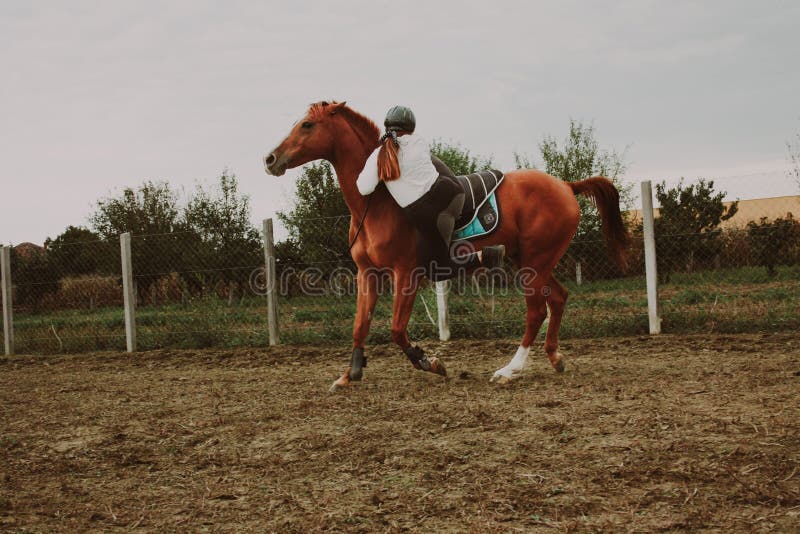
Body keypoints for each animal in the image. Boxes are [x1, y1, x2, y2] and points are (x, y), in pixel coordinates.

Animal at [264, 101, 630, 390]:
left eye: (307, 125)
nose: (270, 158)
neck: (378, 201)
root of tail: (566, 186)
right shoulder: (367, 274)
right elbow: (359, 326)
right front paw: (349, 374)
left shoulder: (405, 275)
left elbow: (397, 330)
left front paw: (430, 363)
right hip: (532, 260)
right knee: (558, 298)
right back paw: (554, 356)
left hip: (534, 263)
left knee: (537, 311)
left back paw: (509, 370)